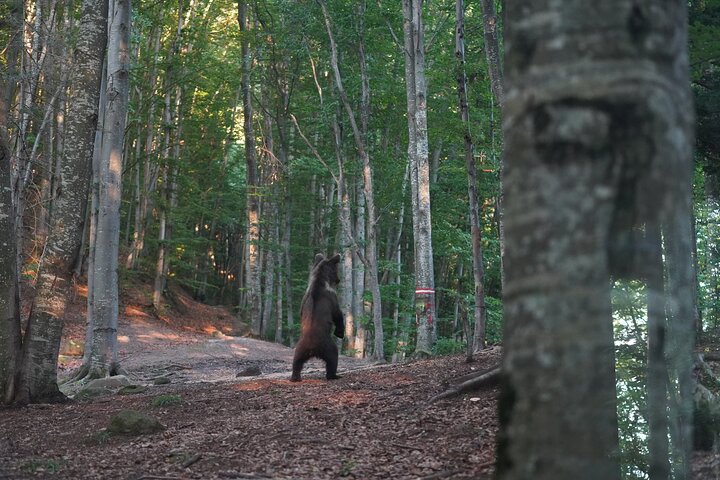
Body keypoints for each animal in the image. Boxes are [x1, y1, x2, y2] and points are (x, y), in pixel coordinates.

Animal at [290, 253, 345, 382]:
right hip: (327, 345)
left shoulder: (304, 299)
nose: (338, 280)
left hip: (300, 348)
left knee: (296, 361)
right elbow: (337, 314)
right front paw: (340, 332)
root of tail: (312, 349)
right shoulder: (331, 297)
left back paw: (295, 377)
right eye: (336, 271)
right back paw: (334, 375)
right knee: (333, 358)